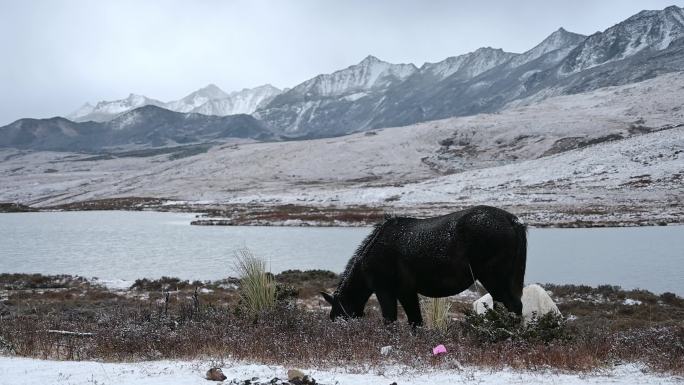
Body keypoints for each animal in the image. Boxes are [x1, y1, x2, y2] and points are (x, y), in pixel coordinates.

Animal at [322, 204, 528, 324]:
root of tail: (512, 220)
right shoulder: (407, 292)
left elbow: (390, 319)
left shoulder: (386, 291)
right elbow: (415, 321)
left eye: (338, 316)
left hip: (493, 277)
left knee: (513, 305)